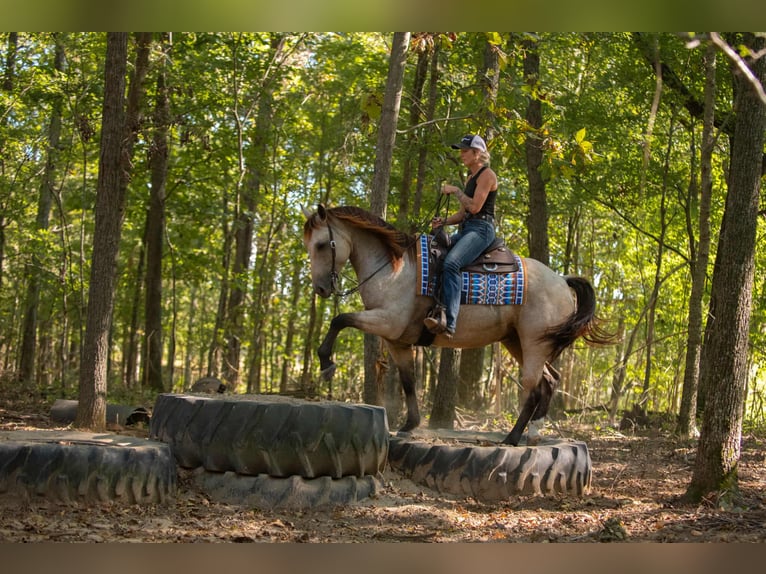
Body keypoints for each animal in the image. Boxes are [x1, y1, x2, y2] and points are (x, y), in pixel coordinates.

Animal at [302, 204, 611, 446]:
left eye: (321, 245)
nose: (320, 289)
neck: (394, 270)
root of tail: (562, 279)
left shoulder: (387, 322)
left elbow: (340, 319)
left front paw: (326, 363)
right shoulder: (397, 341)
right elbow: (408, 381)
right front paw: (409, 425)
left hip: (534, 342)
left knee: (533, 387)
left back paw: (512, 438)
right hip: (518, 342)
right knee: (550, 380)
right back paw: (534, 432)